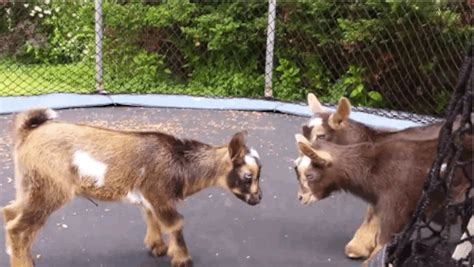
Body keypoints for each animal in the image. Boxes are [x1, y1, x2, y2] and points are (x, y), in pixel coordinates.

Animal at [1, 109, 262, 267]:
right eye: (248, 176)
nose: (258, 199)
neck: (179, 163)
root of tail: (28, 133)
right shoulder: (160, 194)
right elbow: (175, 223)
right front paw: (183, 259)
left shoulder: (150, 196)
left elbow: (151, 217)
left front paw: (157, 247)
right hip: (49, 189)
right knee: (18, 227)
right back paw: (23, 262)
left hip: (28, 185)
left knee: (10, 212)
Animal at [292, 135, 470, 264]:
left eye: (310, 175)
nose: (301, 197)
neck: (373, 169)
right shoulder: (382, 200)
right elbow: (373, 218)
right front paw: (357, 248)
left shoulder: (396, 201)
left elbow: (386, 235)